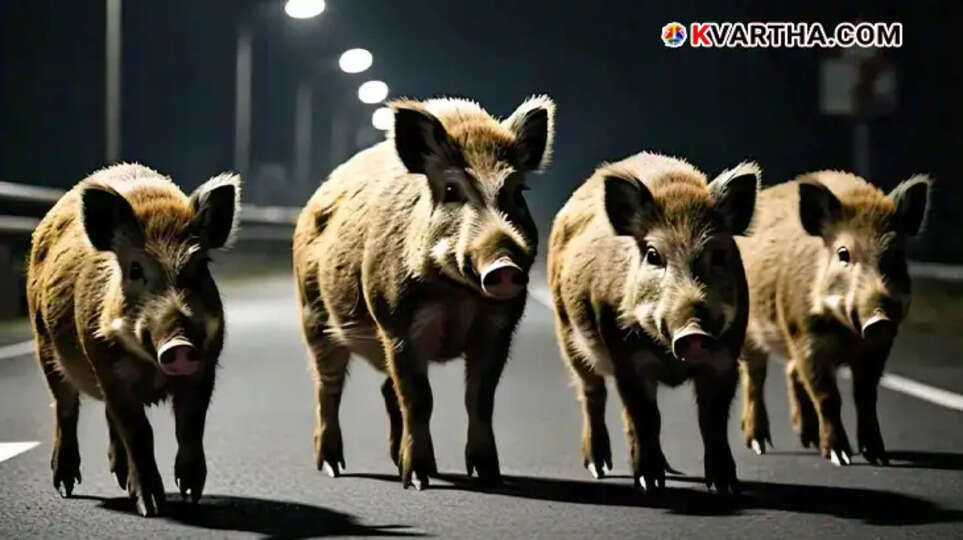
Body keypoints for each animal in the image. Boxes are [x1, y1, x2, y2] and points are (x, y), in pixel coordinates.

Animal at [26, 163, 240, 516]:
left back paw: (121, 479)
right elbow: (140, 432)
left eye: (200, 265)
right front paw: (151, 507)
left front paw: (190, 494)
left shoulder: (205, 366)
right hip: (44, 345)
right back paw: (66, 487)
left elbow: (190, 425)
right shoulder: (107, 368)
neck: (152, 370)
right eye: (135, 269)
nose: (179, 346)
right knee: (65, 408)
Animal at [293, 96, 555, 489]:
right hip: (314, 317)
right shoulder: (397, 325)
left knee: (387, 391)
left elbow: (479, 398)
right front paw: (416, 480)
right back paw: (334, 466)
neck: (456, 295)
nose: (505, 266)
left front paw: (490, 478)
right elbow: (419, 400)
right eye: (451, 190)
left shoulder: (498, 328)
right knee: (328, 387)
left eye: (517, 192)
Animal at [548, 152, 759, 494]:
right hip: (567, 333)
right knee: (592, 392)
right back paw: (599, 467)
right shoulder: (627, 359)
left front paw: (726, 486)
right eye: (653, 254)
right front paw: (650, 483)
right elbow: (646, 418)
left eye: (718, 254)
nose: (693, 331)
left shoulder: (724, 359)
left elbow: (711, 422)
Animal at [737, 170, 931, 466]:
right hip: (750, 332)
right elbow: (828, 396)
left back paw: (808, 440)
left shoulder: (877, 350)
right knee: (753, 378)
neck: (847, 334)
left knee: (789, 371)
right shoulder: (805, 338)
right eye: (843, 253)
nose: (879, 321)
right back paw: (759, 444)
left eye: (896, 254)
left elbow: (865, 396)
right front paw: (840, 457)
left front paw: (878, 457)